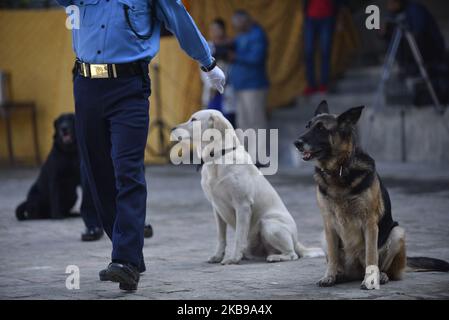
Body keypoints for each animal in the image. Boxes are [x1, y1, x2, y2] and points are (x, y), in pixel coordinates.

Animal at [172, 110, 322, 264]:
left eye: (193, 119)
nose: (172, 128)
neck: (219, 156)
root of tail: (297, 241)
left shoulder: (242, 205)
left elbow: (239, 236)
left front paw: (233, 258)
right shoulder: (216, 208)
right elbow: (221, 237)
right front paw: (218, 256)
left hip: (269, 224)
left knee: (292, 254)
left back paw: (275, 257)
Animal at [294, 100, 448, 290]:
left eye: (321, 129)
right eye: (308, 126)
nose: (296, 143)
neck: (340, 168)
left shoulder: (369, 223)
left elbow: (371, 255)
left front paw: (370, 280)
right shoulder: (328, 224)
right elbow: (333, 256)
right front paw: (328, 276)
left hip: (397, 232)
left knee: (388, 269)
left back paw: (381, 276)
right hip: (324, 236)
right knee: (338, 263)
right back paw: (339, 275)